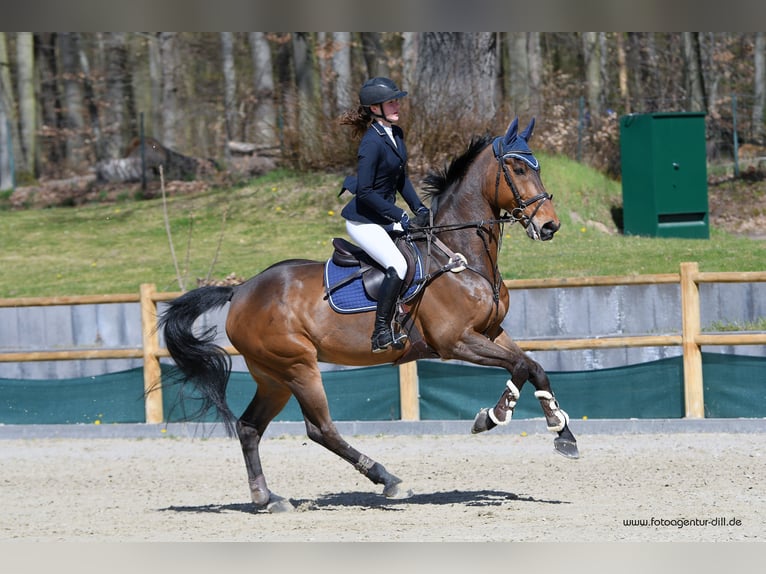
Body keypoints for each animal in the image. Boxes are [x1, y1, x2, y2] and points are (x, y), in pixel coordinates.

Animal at [159, 116, 580, 512]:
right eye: (519, 169)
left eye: (537, 167)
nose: (550, 225)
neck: (462, 256)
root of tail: (241, 291)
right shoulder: (457, 342)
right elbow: (520, 367)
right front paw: (492, 417)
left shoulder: (491, 332)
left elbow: (533, 366)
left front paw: (563, 434)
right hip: (297, 366)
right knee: (320, 429)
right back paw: (386, 479)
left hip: (272, 376)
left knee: (249, 427)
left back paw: (268, 498)